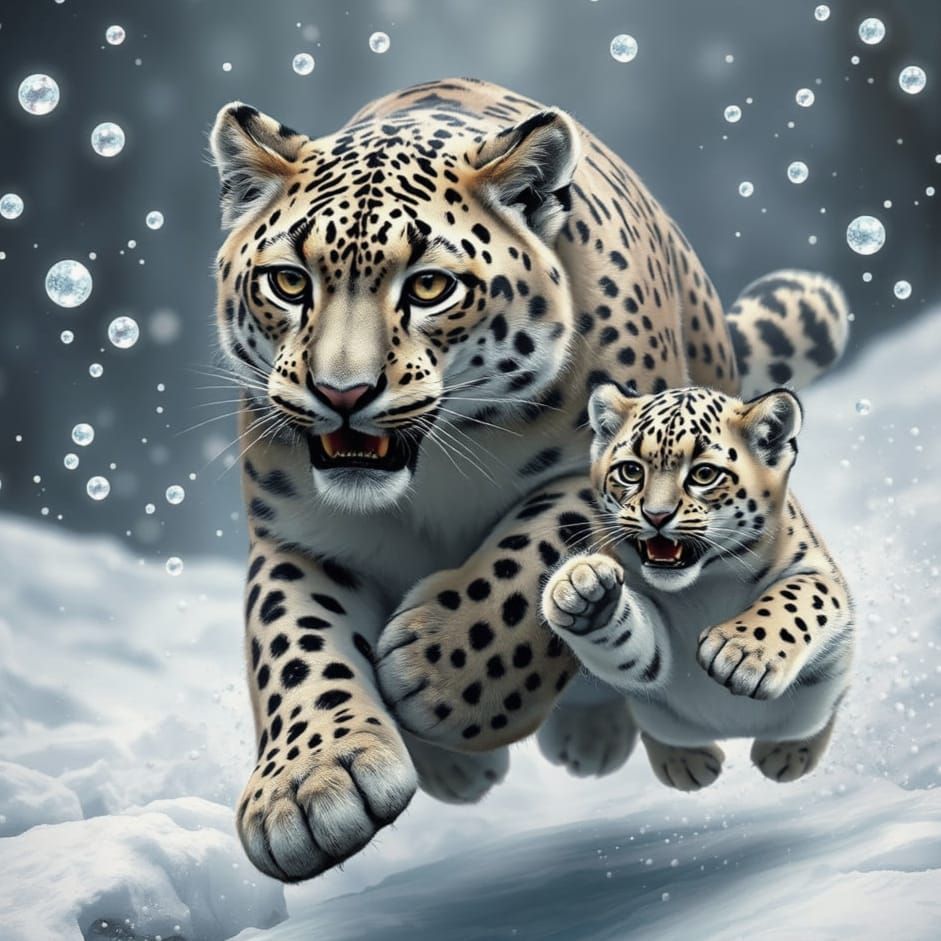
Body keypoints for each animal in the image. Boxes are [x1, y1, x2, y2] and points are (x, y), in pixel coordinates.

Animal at [541, 382, 854, 791]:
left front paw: (742, 653)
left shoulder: (819, 573)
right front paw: (585, 593)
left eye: (704, 474)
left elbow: (798, 599)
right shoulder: (656, 651)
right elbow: (634, 646)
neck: (706, 582)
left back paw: (785, 754)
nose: (656, 516)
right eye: (630, 471)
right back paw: (686, 762)